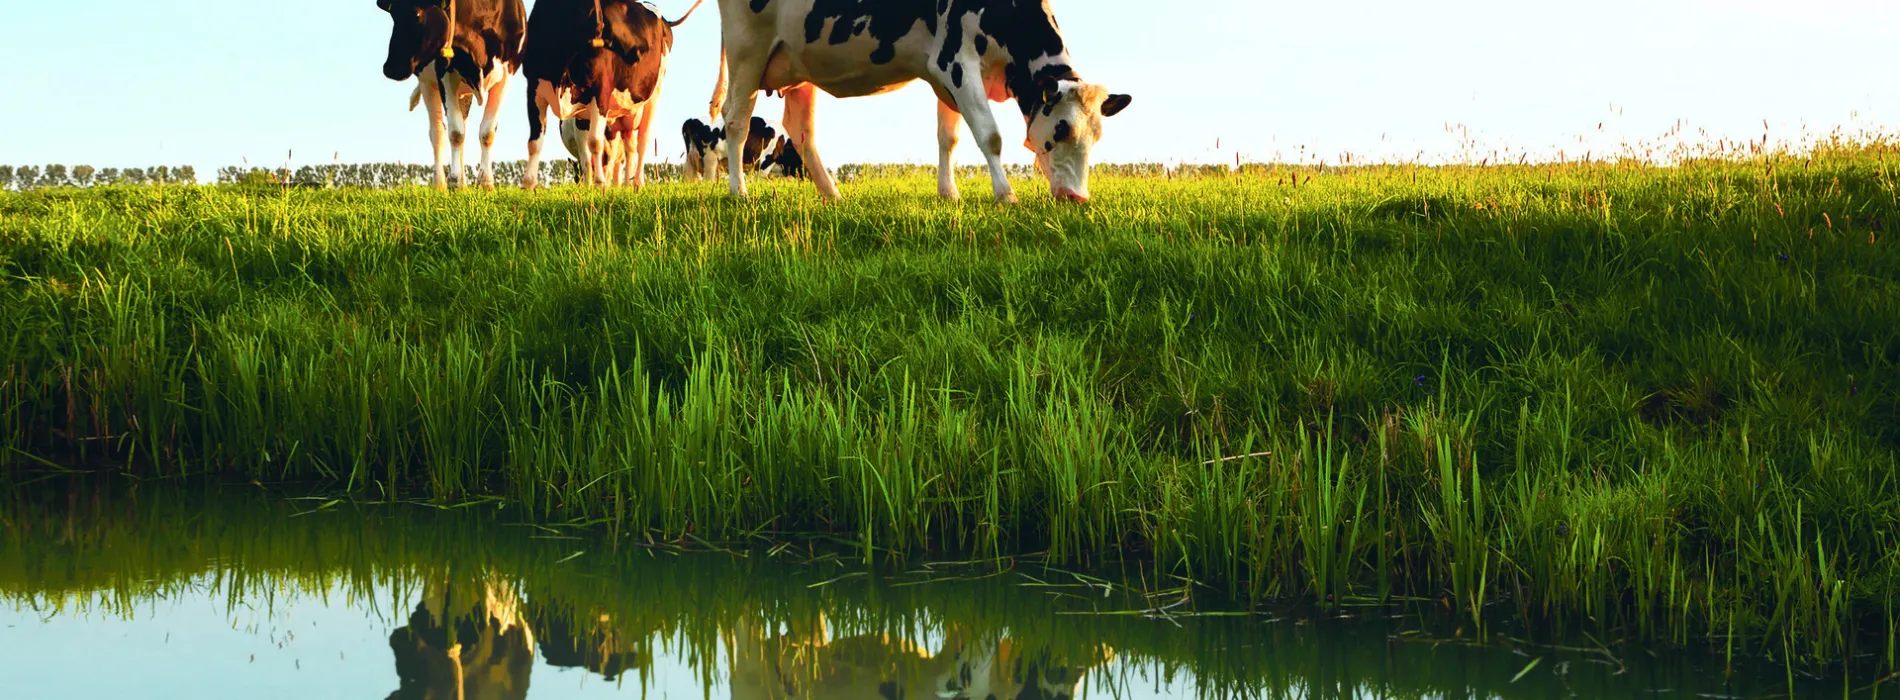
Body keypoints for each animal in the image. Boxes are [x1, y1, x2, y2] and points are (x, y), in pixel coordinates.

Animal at [377, 0, 527, 190]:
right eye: (392, 14)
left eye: (417, 14)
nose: (390, 69)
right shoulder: (444, 72)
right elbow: (456, 132)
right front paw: (454, 181)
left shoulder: (507, 73)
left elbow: (487, 132)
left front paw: (485, 183)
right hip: (427, 84)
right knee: (437, 133)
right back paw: (440, 184)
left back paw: (463, 182)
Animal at [521, 0, 706, 189]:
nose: (643, 48)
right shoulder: (535, 91)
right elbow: (535, 142)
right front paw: (529, 184)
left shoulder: (600, 92)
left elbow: (595, 142)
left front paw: (600, 184)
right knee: (629, 147)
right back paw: (627, 184)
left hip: (654, 94)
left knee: (642, 141)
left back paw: (637, 182)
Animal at [709, 0, 1131, 204]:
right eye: (1061, 130)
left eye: (1096, 138)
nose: (1077, 198)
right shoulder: (956, 60)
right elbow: (989, 135)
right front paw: (1006, 195)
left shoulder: (945, 74)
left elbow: (950, 137)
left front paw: (949, 193)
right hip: (748, 50)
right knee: (736, 121)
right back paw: (738, 192)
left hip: (798, 65)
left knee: (801, 131)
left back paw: (832, 194)